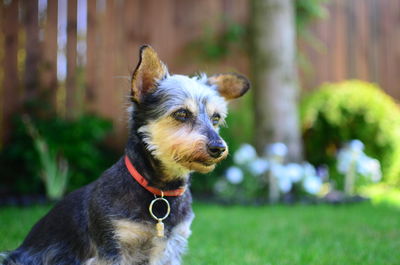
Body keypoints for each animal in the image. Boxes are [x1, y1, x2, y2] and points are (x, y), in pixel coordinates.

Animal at [1, 45, 248, 264]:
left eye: (216, 118)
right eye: (181, 114)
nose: (219, 148)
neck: (160, 191)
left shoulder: (169, 249)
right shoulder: (112, 247)